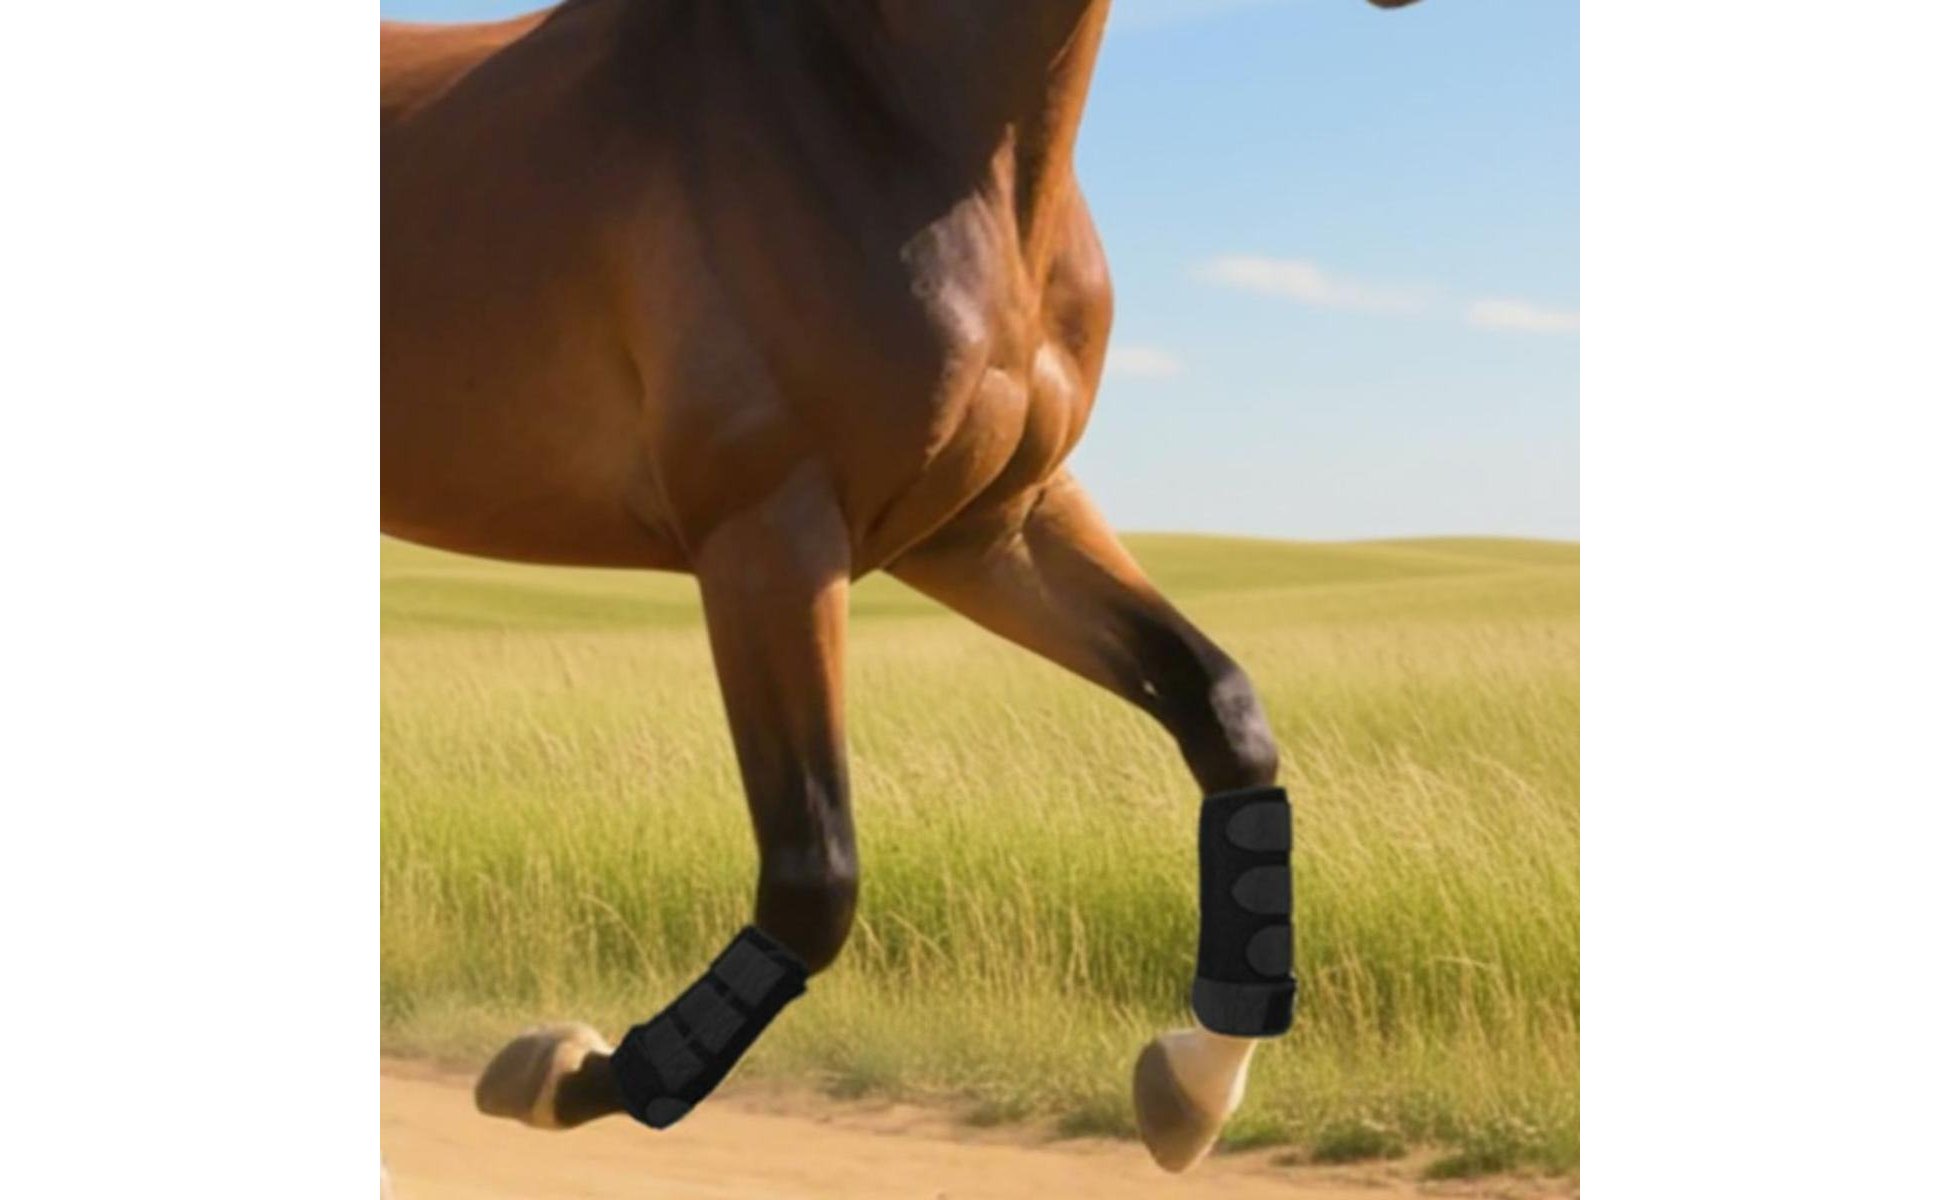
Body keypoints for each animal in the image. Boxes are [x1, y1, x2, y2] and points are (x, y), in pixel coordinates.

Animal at [382, 0, 1422, 1173]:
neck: (887, 112)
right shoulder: (769, 538)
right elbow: (813, 876)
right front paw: (560, 1071)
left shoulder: (991, 528)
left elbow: (1221, 711)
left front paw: (1194, 1080)